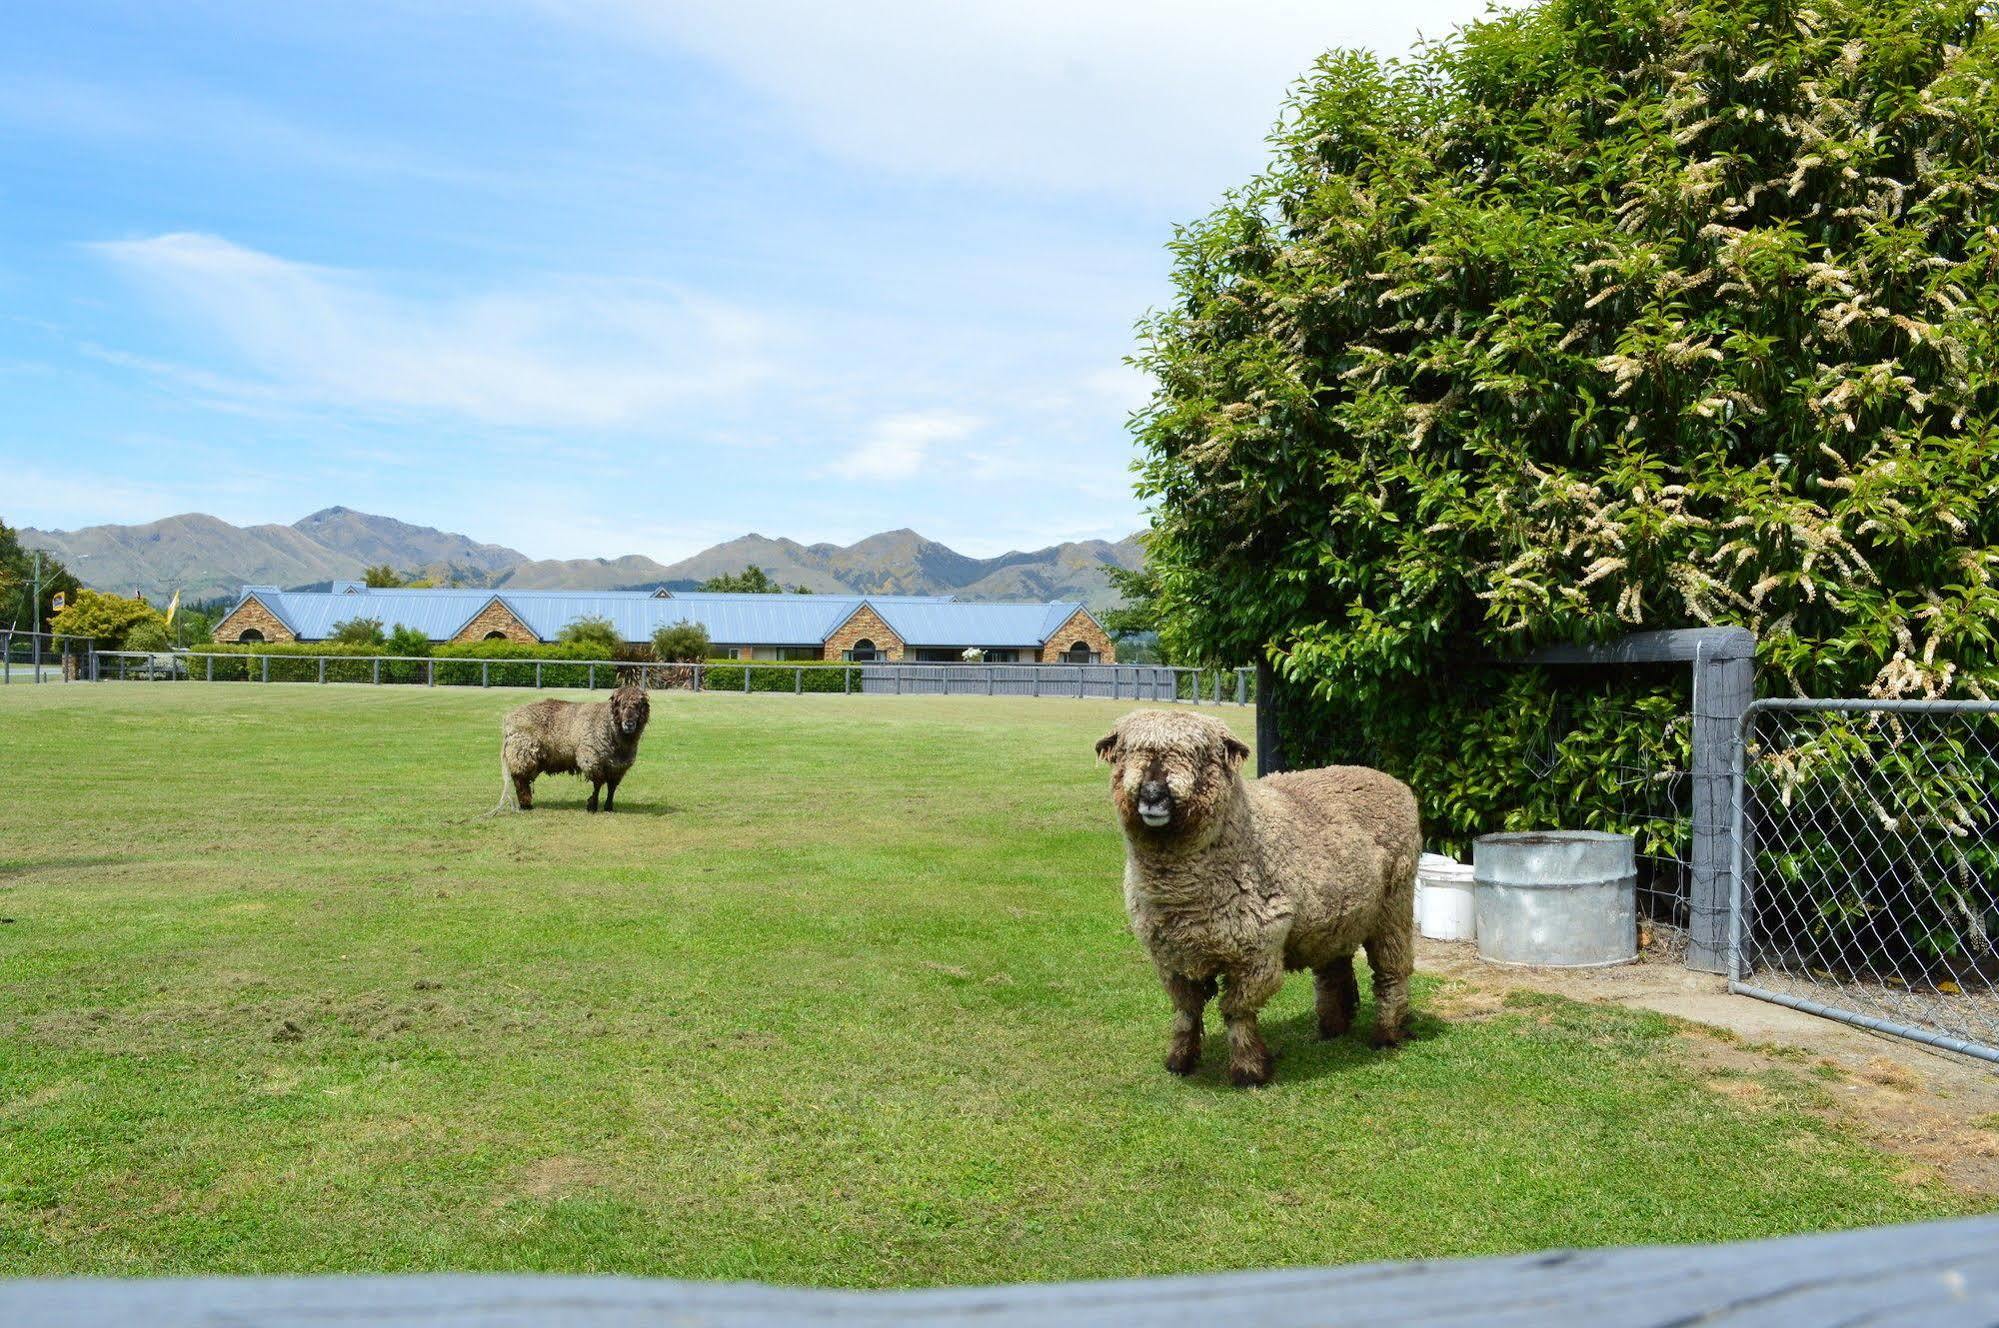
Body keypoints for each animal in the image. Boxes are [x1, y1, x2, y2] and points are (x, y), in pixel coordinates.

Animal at [495, 688, 651, 816]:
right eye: (621, 705)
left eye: (639, 705)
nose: (629, 724)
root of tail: (508, 720)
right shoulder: (592, 759)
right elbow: (598, 784)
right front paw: (592, 806)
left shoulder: (618, 767)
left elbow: (611, 787)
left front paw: (608, 807)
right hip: (523, 752)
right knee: (519, 779)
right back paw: (525, 804)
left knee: (523, 779)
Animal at [1095, 712, 1423, 1088]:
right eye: (1125, 751)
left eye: (1200, 754)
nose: (1152, 794)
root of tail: (1384, 777)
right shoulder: (1171, 958)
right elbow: (1187, 1011)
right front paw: (1179, 1059)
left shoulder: (1257, 952)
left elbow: (1237, 1012)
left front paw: (1249, 1069)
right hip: (1335, 915)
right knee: (1333, 968)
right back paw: (1332, 1028)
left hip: (1394, 905)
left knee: (1392, 972)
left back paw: (1386, 1034)